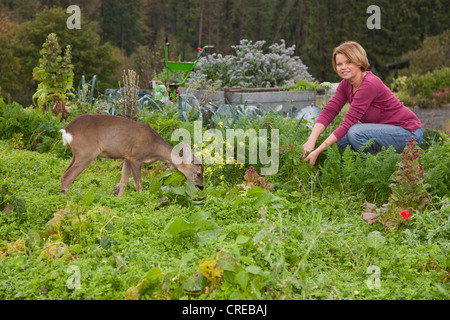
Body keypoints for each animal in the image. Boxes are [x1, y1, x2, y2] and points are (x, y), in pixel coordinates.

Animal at [59, 114, 203, 196]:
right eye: (199, 173)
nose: (201, 187)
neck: (154, 147)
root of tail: (66, 131)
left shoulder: (126, 157)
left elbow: (123, 182)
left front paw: (119, 199)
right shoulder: (136, 157)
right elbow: (138, 183)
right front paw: (140, 200)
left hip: (76, 155)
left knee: (63, 174)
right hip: (86, 153)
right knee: (67, 177)